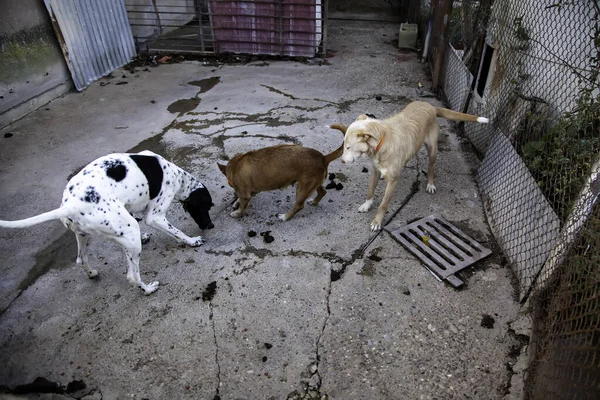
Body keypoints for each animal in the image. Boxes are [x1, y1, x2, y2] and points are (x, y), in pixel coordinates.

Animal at [0, 150, 216, 294]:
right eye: (206, 207)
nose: (211, 226)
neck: (176, 176)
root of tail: (70, 205)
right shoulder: (155, 216)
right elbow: (177, 232)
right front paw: (192, 241)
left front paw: (146, 236)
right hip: (129, 231)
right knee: (132, 276)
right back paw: (148, 288)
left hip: (86, 235)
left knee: (81, 260)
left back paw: (92, 273)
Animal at [336, 100, 490, 231]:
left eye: (348, 147)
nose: (341, 161)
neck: (381, 142)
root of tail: (430, 106)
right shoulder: (375, 170)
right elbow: (370, 191)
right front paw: (367, 205)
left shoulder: (393, 182)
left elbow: (383, 205)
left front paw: (377, 221)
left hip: (432, 149)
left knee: (431, 167)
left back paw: (430, 183)